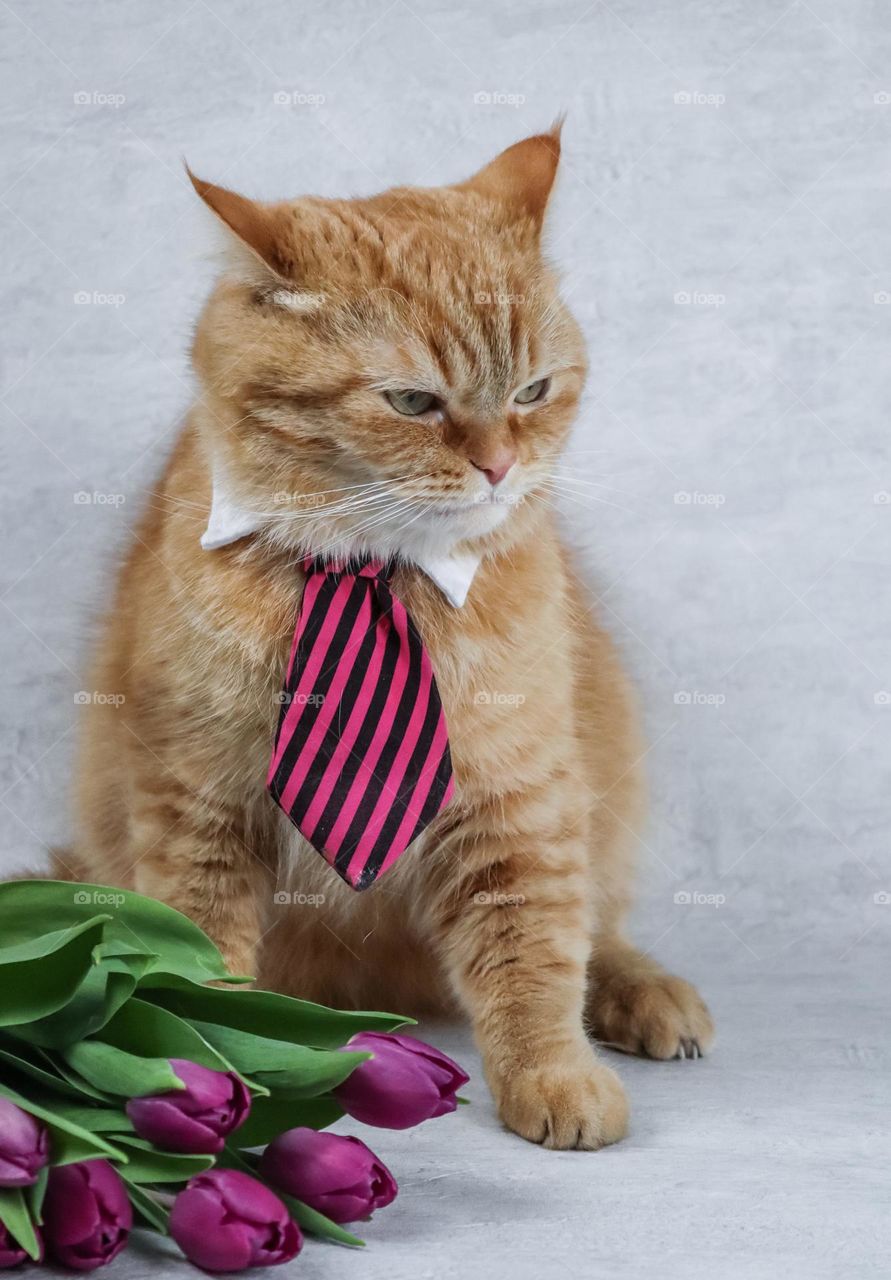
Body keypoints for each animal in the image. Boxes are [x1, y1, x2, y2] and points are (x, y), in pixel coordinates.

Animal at [66, 127, 711, 1152]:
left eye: (532, 390)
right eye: (412, 403)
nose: (500, 465)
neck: (369, 573)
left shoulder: (520, 800)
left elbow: (535, 949)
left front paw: (553, 1074)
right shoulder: (196, 805)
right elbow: (202, 959)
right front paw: (212, 1074)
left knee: (594, 925)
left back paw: (640, 991)